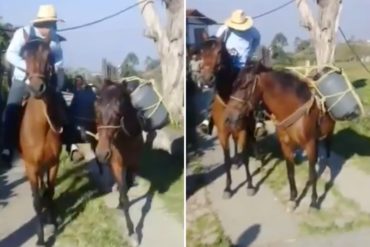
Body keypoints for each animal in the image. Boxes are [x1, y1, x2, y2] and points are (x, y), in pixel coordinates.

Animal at [94, 79, 144, 243]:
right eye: (96, 111)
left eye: (118, 112)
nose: (101, 153)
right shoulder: (116, 164)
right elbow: (124, 192)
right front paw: (131, 230)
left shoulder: (134, 165)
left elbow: (128, 187)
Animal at [197, 37, 258, 199]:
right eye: (201, 52)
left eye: (219, 51)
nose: (207, 79)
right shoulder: (223, 133)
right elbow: (226, 161)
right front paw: (228, 188)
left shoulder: (243, 129)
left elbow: (245, 156)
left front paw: (250, 185)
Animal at [224, 60, 336, 211]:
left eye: (245, 85)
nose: (228, 118)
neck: (293, 110)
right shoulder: (286, 146)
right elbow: (290, 172)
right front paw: (293, 199)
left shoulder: (310, 145)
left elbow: (312, 174)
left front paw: (313, 202)